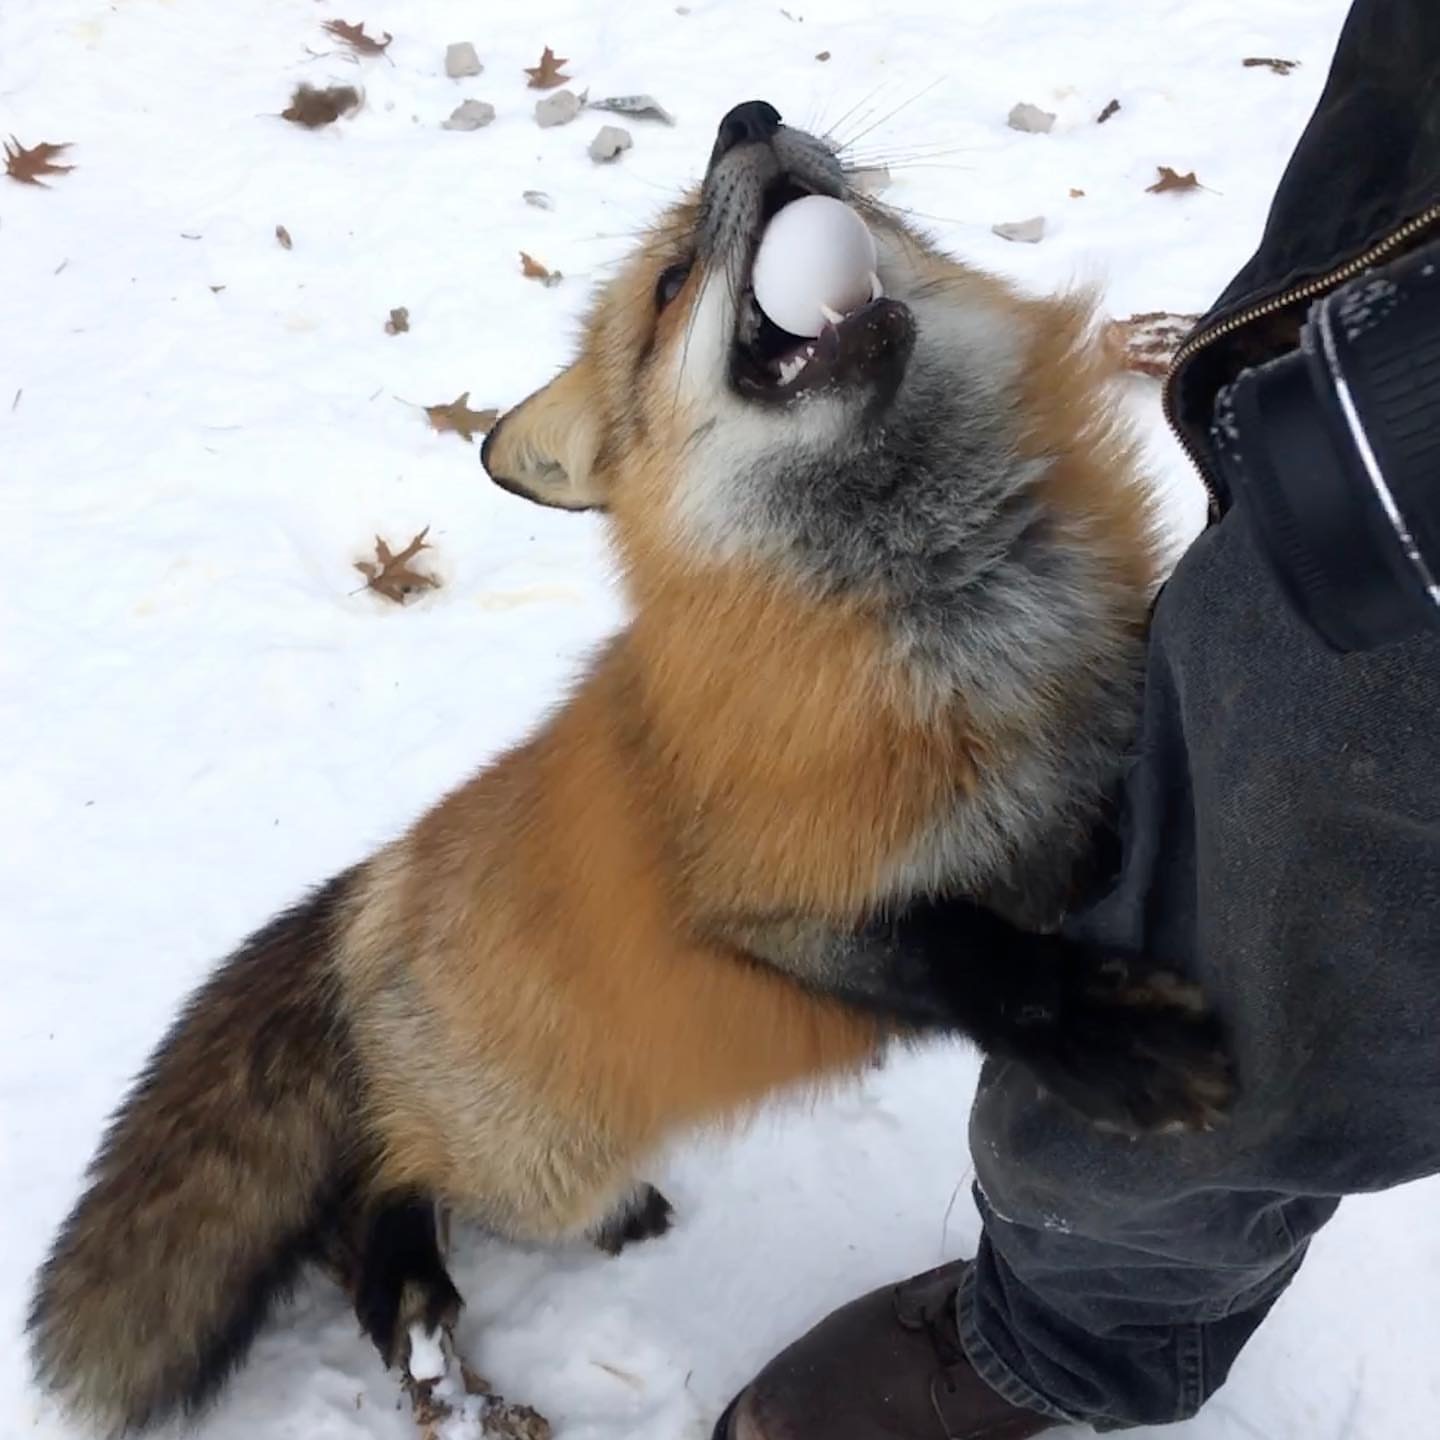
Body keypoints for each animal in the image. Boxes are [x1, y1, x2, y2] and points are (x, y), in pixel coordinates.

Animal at [28, 104, 1232, 1440]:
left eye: (866, 207)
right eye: (667, 287)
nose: (749, 118)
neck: (964, 630)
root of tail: (373, 884)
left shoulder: (1094, 787)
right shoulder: (764, 916)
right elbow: (973, 959)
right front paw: (1113, 1038)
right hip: (530, 1159)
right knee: (375, 1185)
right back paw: (423, 1294)